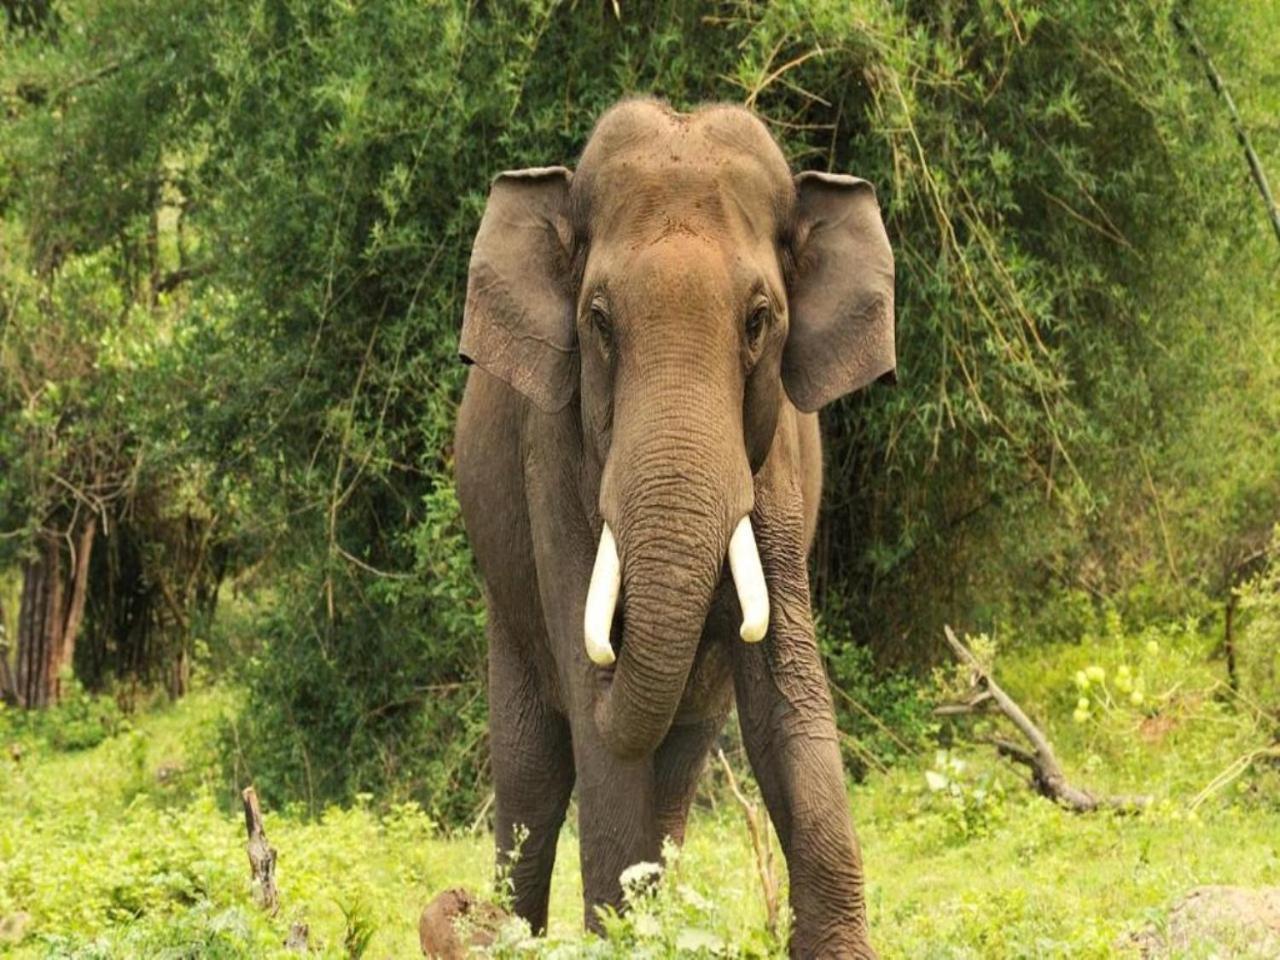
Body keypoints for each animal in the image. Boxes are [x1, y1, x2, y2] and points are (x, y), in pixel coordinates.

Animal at [455, 99, 896, 960]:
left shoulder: (777, 466)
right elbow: (598, 735)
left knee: (675, 769)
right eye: (598, 320)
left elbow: (786, 700)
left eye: (759, 321)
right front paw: (619, 935)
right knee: (534, 774)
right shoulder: (550, 457)